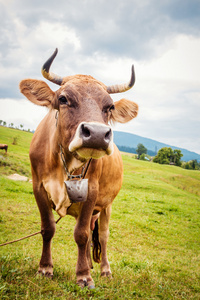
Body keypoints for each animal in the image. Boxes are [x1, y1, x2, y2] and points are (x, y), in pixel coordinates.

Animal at [19, 48, 138, 288]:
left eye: (110, 107)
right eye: (63, 99)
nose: (97, 134)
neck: (64, 163)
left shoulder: (91, 191)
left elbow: (81, 234)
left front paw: (83, 275)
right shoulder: (38, 187)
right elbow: (48, 228)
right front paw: (45, 268)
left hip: (106, 206)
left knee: (102, 236)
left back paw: (104, 270)